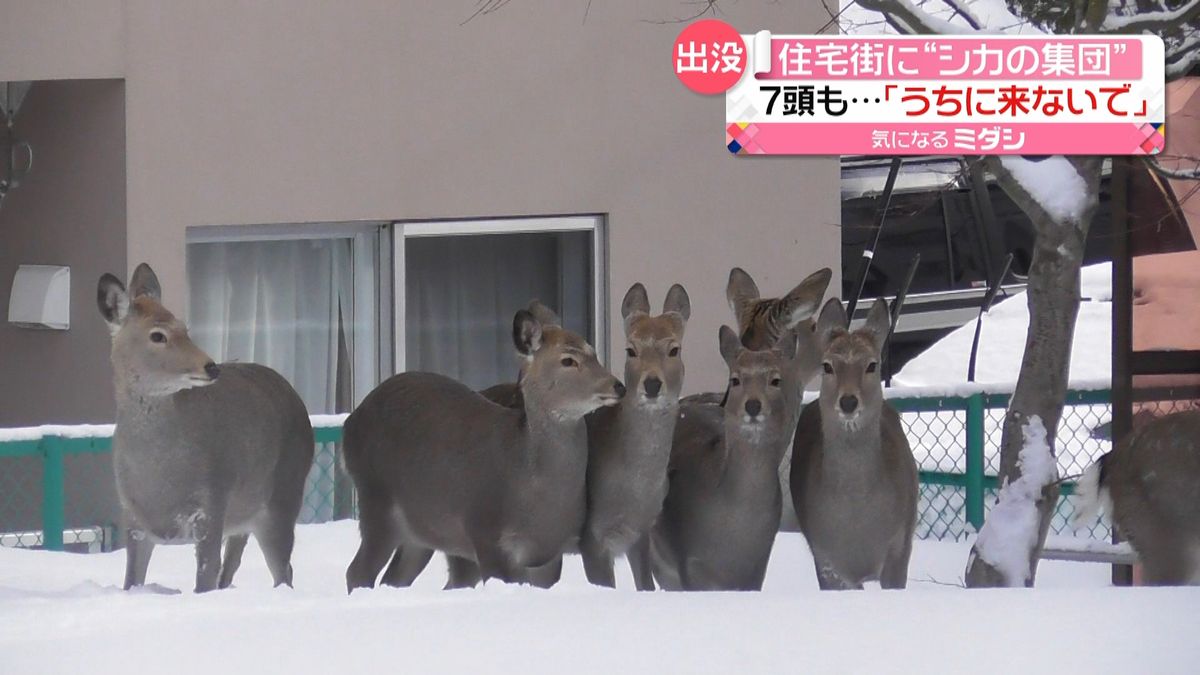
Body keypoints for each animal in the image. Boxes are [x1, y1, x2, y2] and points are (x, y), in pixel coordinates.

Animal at [97, 264, 312, 593]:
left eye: (184, 328)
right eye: (157, 335)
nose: (211, 366)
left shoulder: (213, 499)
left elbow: (205, 576)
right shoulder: (133, 517)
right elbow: (131, 580)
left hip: (284, 495)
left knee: (282, 572)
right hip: (246, 515)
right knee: (234, 567)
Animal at [338, 306, 619, 588]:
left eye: (593, 351)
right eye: (568, 360)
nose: (618, 386)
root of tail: (350, 423)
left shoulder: (548, 554)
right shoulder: (486, 532)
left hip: (422, 530)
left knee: (394, 577)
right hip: (376, 498)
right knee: (358, 571)